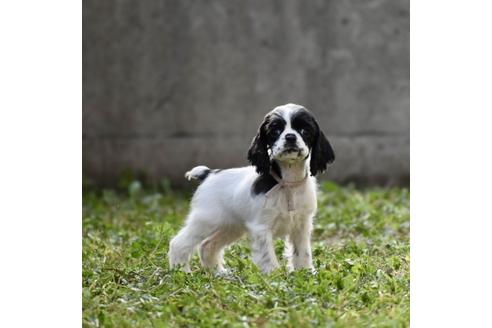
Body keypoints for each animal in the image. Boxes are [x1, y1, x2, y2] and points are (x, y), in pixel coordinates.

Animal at [168, 104, 334, 272]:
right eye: (275, 131)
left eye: (304, 130)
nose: (290, 137)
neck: (288, 182)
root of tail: (208, 173)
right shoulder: (261, 227)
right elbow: (268, 258)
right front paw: (275, 276)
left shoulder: (301, 225)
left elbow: (302, 253)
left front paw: (305, 272)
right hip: (206, 220)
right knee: (178, 243)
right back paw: (182, 271)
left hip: (230, 226)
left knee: (207, 246)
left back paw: (220, 273)